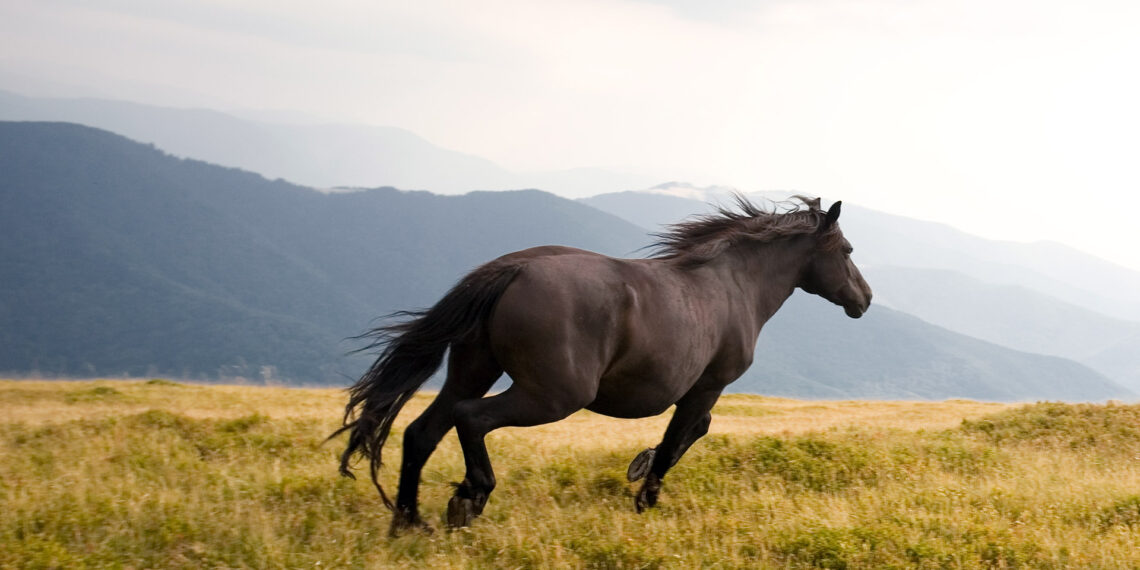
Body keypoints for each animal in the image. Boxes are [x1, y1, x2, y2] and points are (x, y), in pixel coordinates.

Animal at [330, 195, 872, 535]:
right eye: (846, 250)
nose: (864, 299)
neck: (732, 285)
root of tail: (512, 269)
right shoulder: (707, 385)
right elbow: (683, 435)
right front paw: (645, 494)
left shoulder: (700, 391)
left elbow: (688, 434)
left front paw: (640, 466)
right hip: (553, 396)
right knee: (471, 420)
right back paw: (468, 499)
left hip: (472, 372)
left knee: (421, 432)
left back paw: (409, 523)